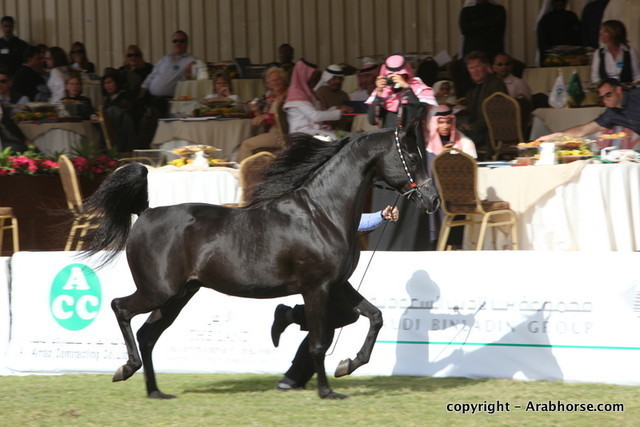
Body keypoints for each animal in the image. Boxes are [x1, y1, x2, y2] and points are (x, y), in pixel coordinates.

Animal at [80, 122, 440, 399]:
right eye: (411, 156)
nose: (433, 200)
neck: (322, 214)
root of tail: (145, 212)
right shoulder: (317, 287)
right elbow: (318, 341)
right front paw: (327, 391)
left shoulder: (338, 285)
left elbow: (373, 316)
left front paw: (346, 365)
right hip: (159, 290)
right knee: (121, 308)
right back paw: (125, 369)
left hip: (179, 295)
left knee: (148, 335)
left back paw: (155, 391)